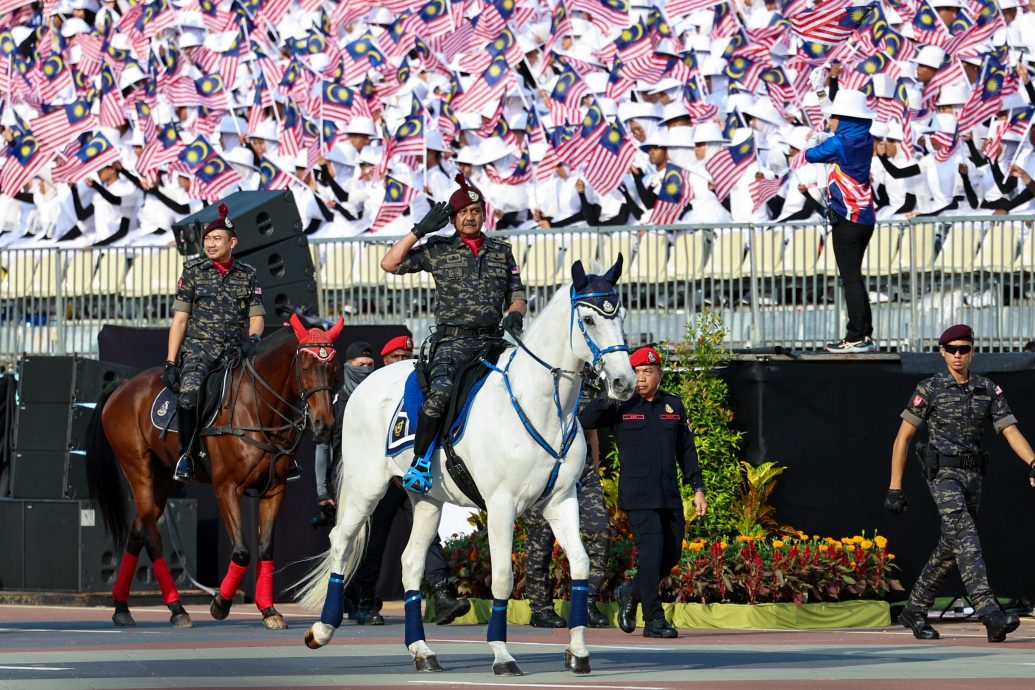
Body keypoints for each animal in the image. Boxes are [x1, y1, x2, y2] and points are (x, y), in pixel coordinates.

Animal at [86, 316, 341, 628]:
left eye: (333, 367)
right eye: (305, 367)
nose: (324, 424)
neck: (256, 406)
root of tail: (123, 386)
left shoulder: (274, 490)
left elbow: (265, 548)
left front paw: (268, 609)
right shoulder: (226, 489)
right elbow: (242, 552)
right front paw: (221, 603)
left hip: (162, 478)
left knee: (138, 533)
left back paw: (123, 607)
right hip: (138, 471)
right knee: (152, 538)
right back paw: (177, 609)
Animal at [296, 256, 633, 678]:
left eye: (621, 316)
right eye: (588, 320)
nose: (624, 382)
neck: (540, 402)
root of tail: (363, 385)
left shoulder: (561, 502)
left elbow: (582, 565)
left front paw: (578, 652)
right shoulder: (502, 506)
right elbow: (503, 578)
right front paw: (502, 655)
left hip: (426, 502)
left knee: (410, 562)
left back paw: (422, 650)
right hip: (365, 488)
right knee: (341, 542)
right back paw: (322, 629)